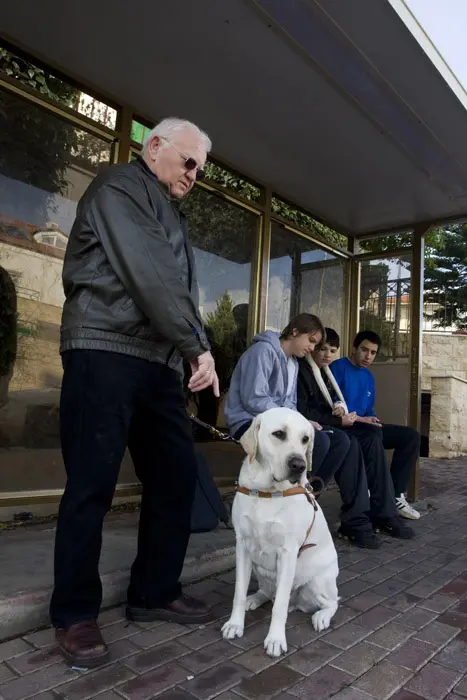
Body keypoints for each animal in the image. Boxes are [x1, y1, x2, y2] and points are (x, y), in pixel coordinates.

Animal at [221, 404, 338, 656]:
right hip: (259, 569)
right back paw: (255, 598)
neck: (266, 491)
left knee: (332, 602)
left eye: (305, 439)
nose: (299, 466)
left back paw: (322, 617)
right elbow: (238, 593)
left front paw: (275, 639)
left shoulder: (288, 553)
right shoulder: (242, 546)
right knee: (268, 592)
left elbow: (280, 606)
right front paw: (235, 624)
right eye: (279, 434)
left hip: (317, 581)